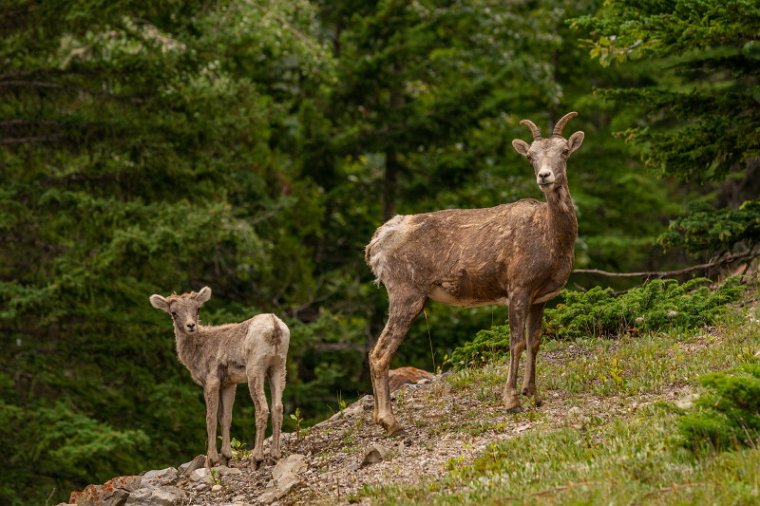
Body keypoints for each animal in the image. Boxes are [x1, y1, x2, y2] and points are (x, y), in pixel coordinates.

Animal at [149, 286, 290, 468]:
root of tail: (275, 326)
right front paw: (226, 457)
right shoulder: (229, 383)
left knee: (262, 408)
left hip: (255, 368)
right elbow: (226, 417)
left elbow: (210, 418)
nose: (191, 325)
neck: (197, 352)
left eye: (197, 308)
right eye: (173, 312)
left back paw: (257, 458)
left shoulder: (211, 381)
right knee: (278, 407)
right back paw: (275, 456)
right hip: (278, 365)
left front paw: (211, 459)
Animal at [366, 112, 584, 432]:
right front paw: (511, 401)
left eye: (565, 151)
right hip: (406, 292)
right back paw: (390, 422)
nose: (545, 176)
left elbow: (534, 342)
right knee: (380, 353)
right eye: (530, 156)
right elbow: (516, 343)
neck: (551, 240)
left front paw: (534, 395)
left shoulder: (541, 297)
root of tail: (375, 246)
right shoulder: (518, 287)